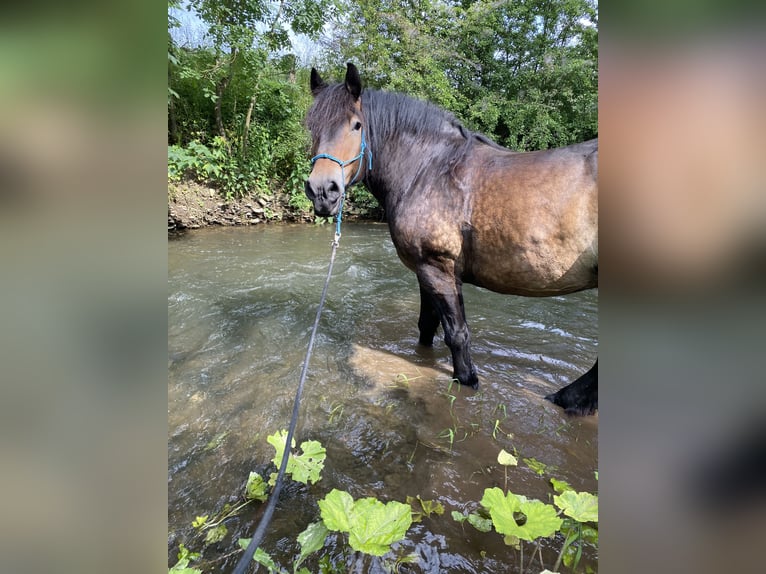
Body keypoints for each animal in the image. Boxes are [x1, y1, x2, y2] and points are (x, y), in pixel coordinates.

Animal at [306, 63, 600, 414]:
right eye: (310, 125)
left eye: (356, 125)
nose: (323, 191)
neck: (429, 170)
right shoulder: (428, 271)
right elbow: (427, 326)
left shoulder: (437, 267)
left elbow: (457, 333)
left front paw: (467, 379)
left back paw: (568, 399)